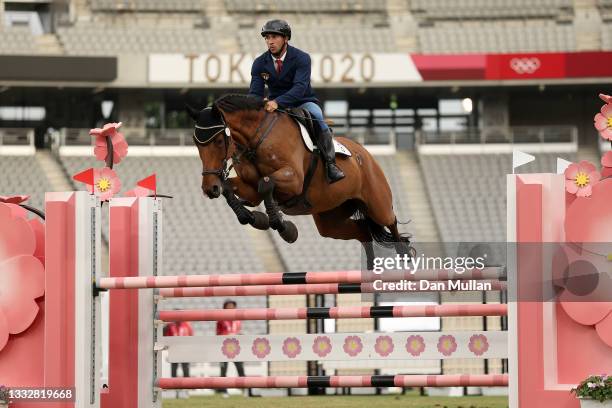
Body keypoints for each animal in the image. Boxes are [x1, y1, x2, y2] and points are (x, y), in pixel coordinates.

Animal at [189, 93, 414, 266]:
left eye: (219, 141)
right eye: (196, 144)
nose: (209, 188)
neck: (256, 139)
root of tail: (364, 153)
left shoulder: (293, 180)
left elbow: (266, 183)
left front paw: (283, 228)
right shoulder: (250, 190)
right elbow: (232, 188)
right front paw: (252, 217)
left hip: (376, 203)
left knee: (391, 221)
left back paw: (405, 256)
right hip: (331, 219)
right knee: (363, 232)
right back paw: (369, 270)